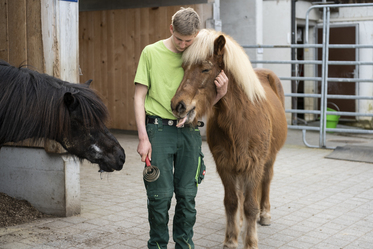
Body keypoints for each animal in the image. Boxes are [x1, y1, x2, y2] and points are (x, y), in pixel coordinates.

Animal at [170, 29, 286, 249]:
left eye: (206, 69)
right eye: (183, 68)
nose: (178, 105)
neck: (240, 118)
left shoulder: (254, 165)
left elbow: (250, 205)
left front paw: (250, 242)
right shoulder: (225, 164)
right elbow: (232, 202)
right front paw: (231, 240)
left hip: (269, 159)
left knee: (266, 180)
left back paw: (265, 215)